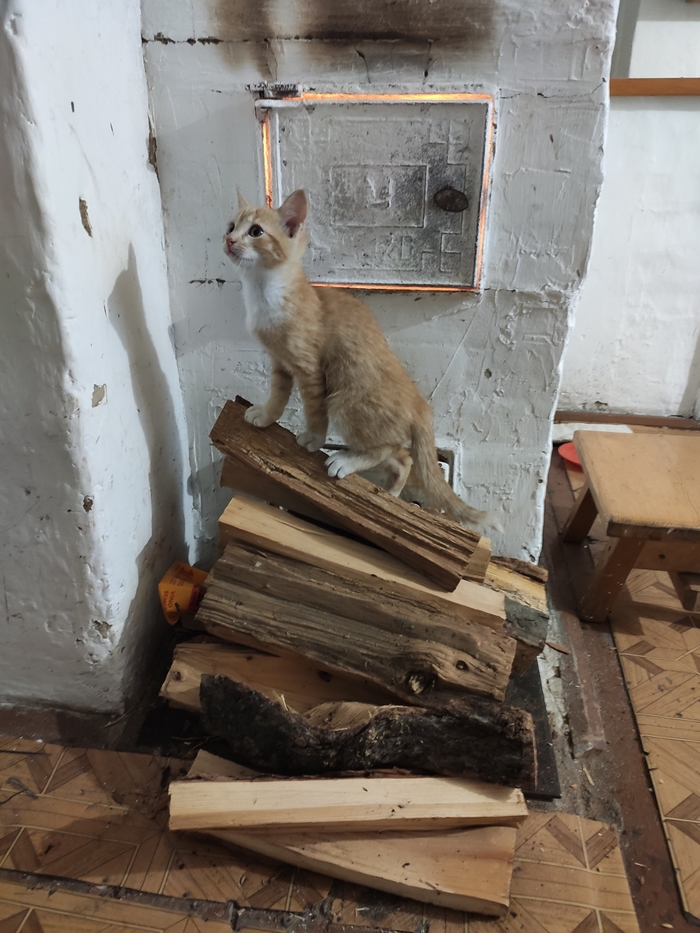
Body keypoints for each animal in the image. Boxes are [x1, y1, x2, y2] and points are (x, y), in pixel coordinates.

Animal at [223, 188, 499, 531]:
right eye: (231, 226)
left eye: (256, 232)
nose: (229, 241)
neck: (265, 291)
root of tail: (420, 405)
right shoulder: (280, 362)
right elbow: (278, 395)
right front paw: (265, 416)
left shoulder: (310, 368)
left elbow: (314, 412)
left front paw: (313, 439)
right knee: (403, 456)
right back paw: (392, 494)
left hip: (347, 402)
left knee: (386, 448)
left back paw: (346, 461)